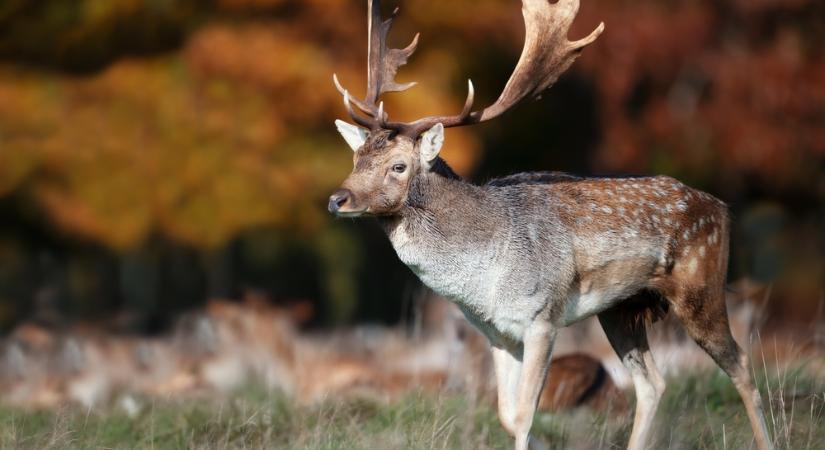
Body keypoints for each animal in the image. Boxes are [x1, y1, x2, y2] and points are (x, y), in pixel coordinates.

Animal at [326, 0, 772, 450]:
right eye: (356, 158)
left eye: (398, 166)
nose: (337, 199)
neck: (483, 277)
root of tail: (722, 208)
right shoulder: (497, 333)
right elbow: (506, 415)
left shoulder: (541, 317)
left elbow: (524, 414)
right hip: (620, 310)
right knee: (653, 384)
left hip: (701, 284)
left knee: (742, 365)